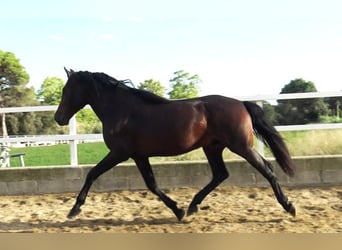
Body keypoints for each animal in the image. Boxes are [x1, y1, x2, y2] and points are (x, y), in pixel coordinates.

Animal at [54, 68, 296, 221]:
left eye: (66, 91)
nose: (59, 118)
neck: (121, 110)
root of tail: (241, 104)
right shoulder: (138, 155)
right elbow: (152, 185)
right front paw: (178, 211)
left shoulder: (120, 153)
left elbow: (92, 174)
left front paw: (74, 209)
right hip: (213, 147)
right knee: (220, 174)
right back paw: (192, 206)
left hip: (241, 146)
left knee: (267, 168)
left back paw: (289, 206)